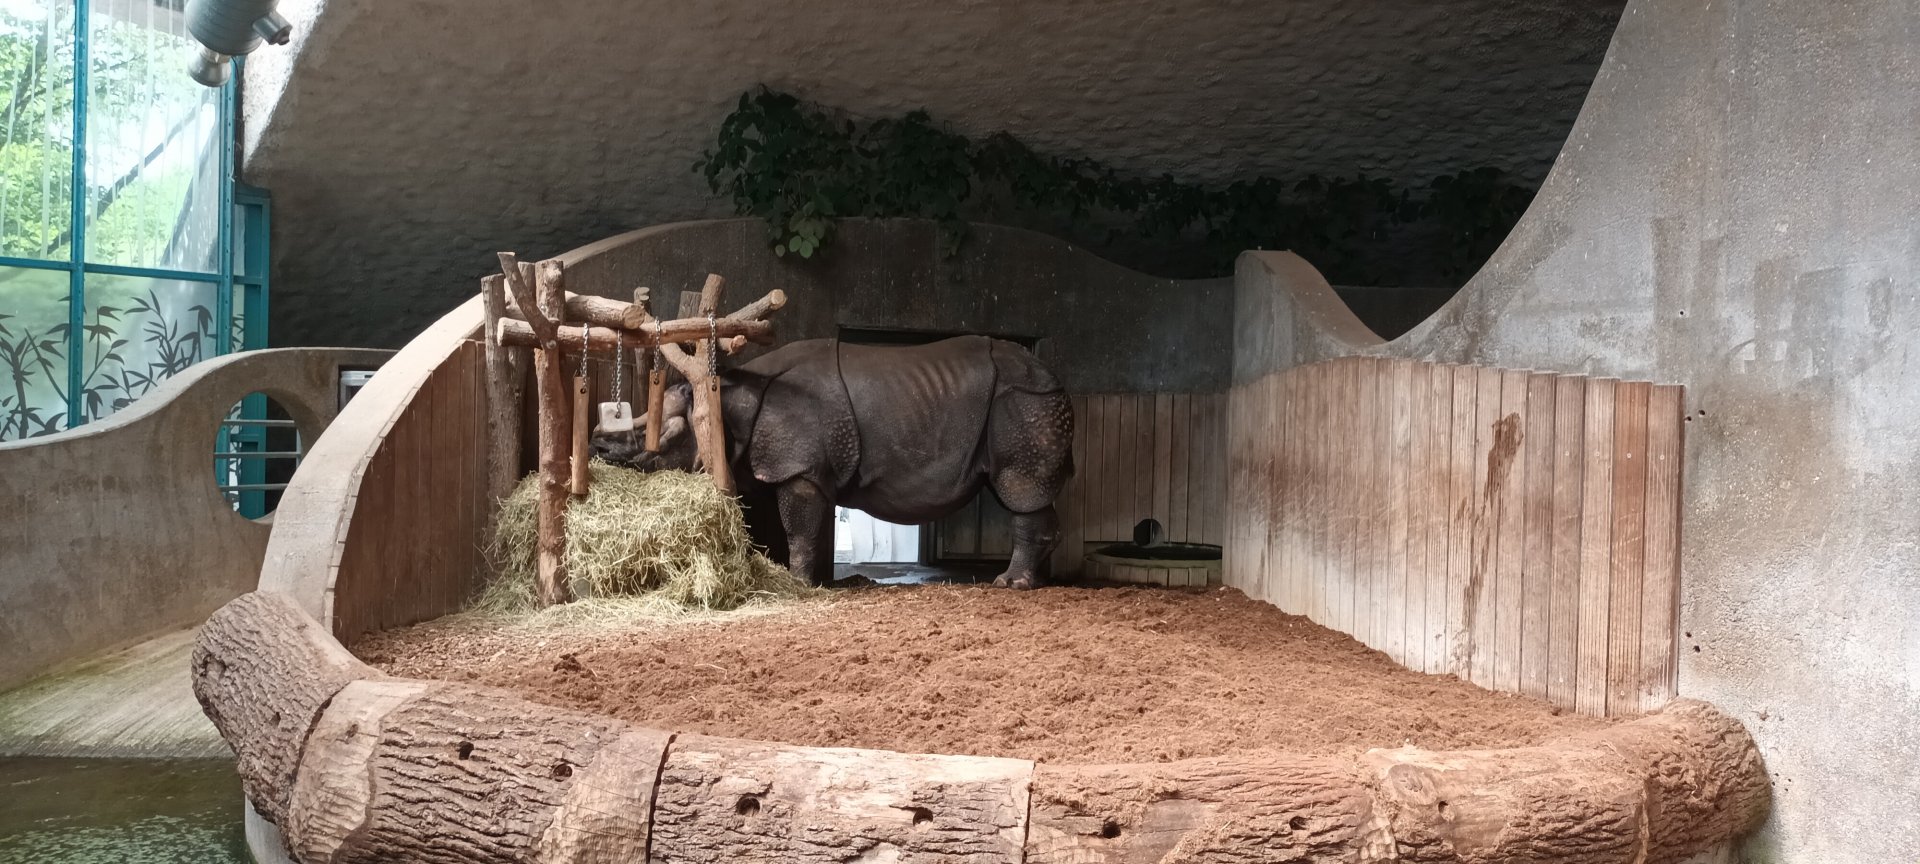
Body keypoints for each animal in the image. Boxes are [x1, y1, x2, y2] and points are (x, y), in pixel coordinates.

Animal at [592, 336, 1074, 589]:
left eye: (655, 439)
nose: (598, 446)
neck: (724, 404)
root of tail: (1057, 380)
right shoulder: (807, 468)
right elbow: (808, 527)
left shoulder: (799, 468)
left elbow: (799, 528)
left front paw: (798, 584)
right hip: (1026, 402)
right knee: (1023, 492)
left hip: (1025, 401)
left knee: (1019, 488)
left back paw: (1010, 585)